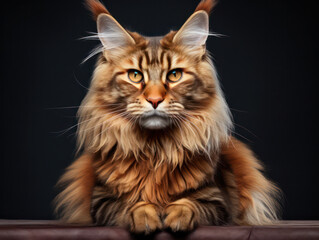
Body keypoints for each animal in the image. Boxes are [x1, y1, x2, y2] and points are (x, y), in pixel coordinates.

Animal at [56, 0, 282, 233]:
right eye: (135, 75)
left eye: (174, 75)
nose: (155, 100)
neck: (156, 149)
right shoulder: (101, 200)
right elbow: (131, 205)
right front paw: (145, 218)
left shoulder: (218, 201)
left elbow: (190, 203)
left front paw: (177, 217)